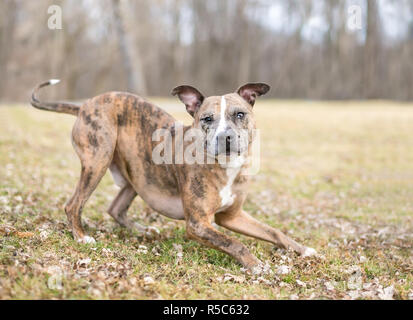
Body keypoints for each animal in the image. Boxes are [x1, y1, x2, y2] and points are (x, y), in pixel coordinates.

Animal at [31, 80, 316, 272]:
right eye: (207, 119)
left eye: (240, 114)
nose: (225, 137)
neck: (225, 167)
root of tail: (84, 105)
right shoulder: (198, 224)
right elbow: (235, 243)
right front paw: (259, 266)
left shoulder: (232, 216)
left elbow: (274, 232)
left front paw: (304, 250)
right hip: (97, 160)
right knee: (73, 204)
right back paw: (81, 236)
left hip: (138, 172)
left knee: (116, 208)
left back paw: (142, 229)